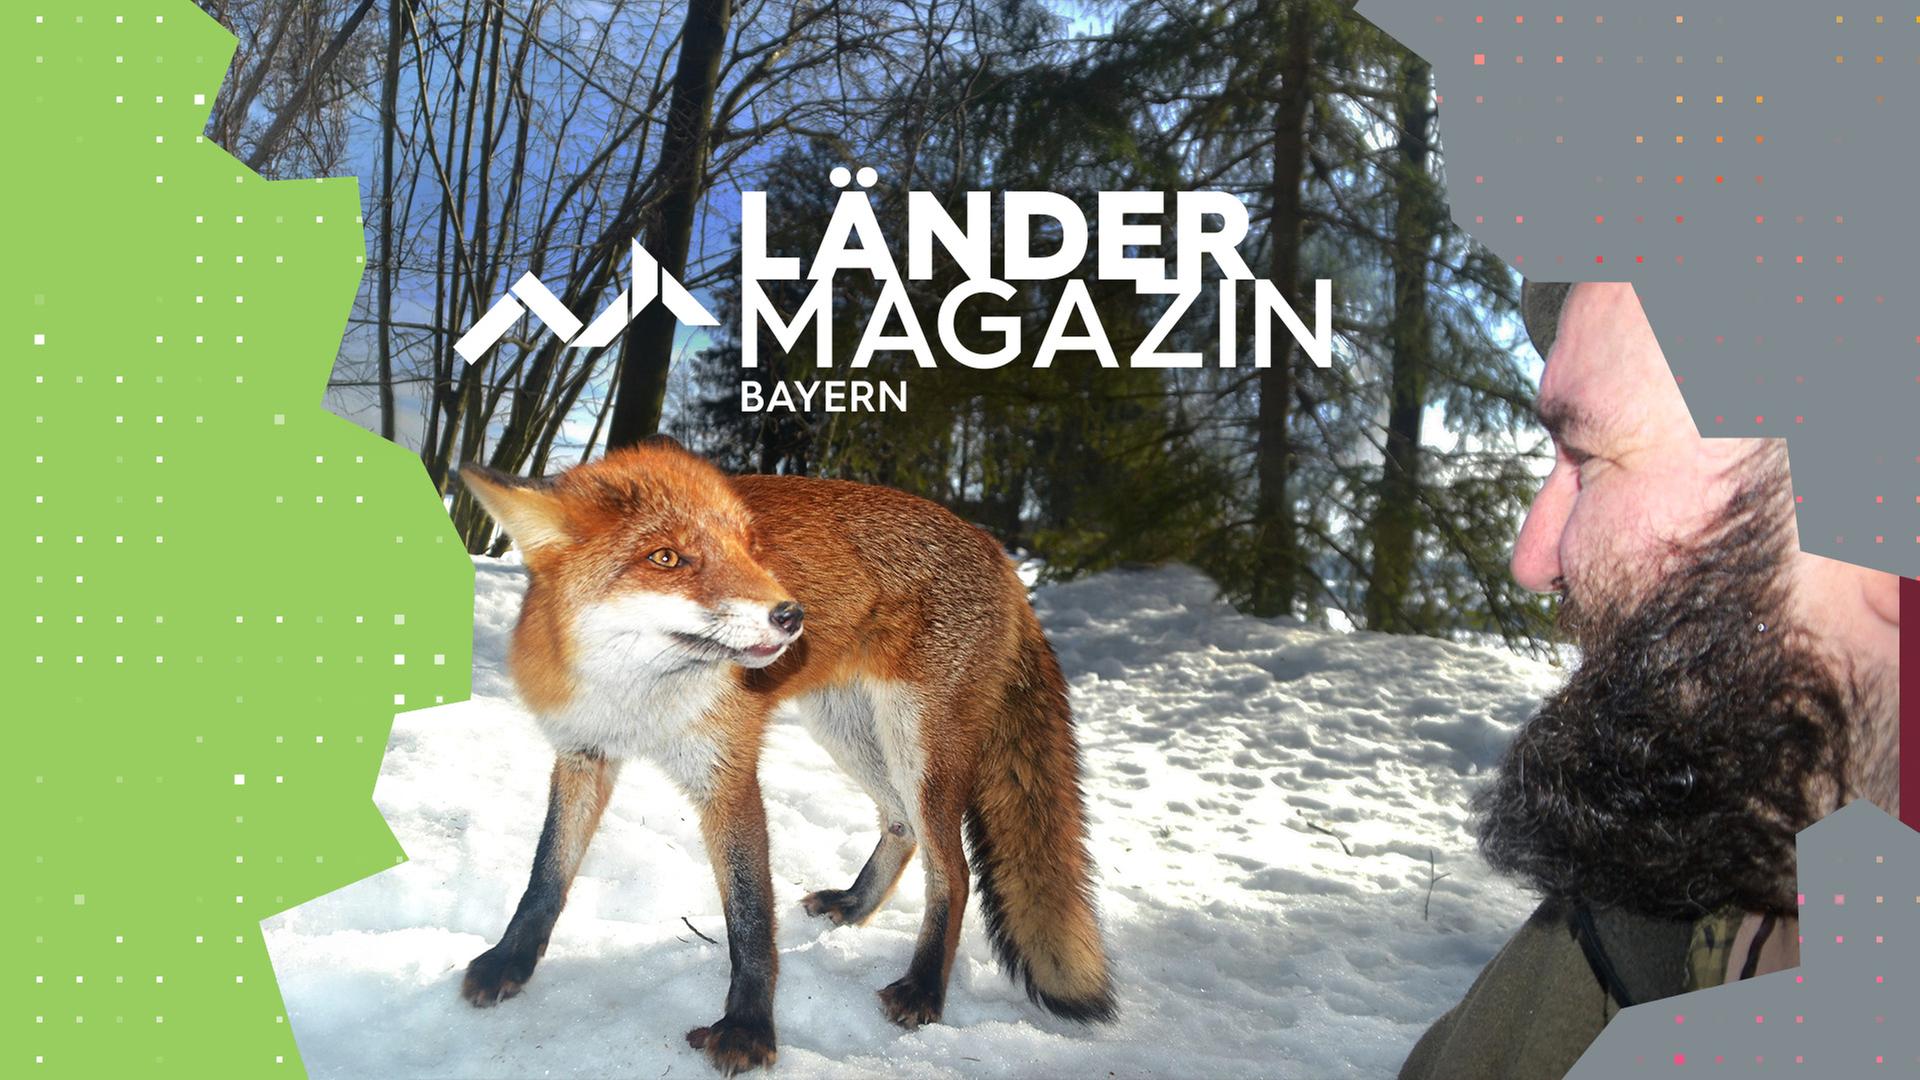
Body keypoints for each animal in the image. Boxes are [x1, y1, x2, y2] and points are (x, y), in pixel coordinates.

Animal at [454, 437, 1115, 1075]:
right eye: (666, 558)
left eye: (750, 548)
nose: (791, 614)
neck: (638, 705)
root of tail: (1000, 553)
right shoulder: (583, 755)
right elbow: (545, 875)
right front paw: (510, 961)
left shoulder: (728, 776)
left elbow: (750, 919)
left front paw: (748, 1028)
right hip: (844, 728)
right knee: (900, 825)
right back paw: (855, 904)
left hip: (916, 744)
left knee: (953, 870)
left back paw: (924, 988)